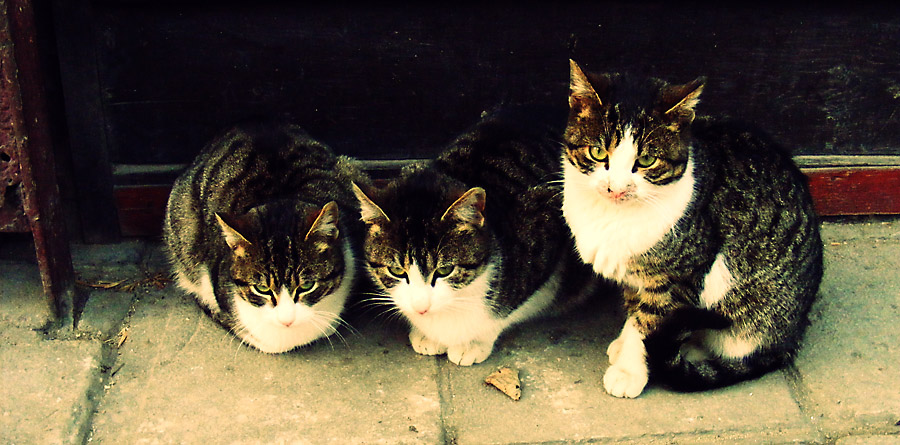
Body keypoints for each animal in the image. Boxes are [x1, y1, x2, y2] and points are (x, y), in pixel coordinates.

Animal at [353, 106, 599, 366]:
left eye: (444, 270)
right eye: (396, 271)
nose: (421, 308)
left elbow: (507, 310)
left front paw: (471, 343)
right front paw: (426, 334)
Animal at [561, 60, 823, 397]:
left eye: (647, 160)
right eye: (598, 153)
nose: (616, 188)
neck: (611, 216)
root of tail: (792, 338)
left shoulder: (678, 278)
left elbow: (649, 324)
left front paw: (630, 370)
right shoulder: (634, 276)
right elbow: (635, 312)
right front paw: (626, 345)